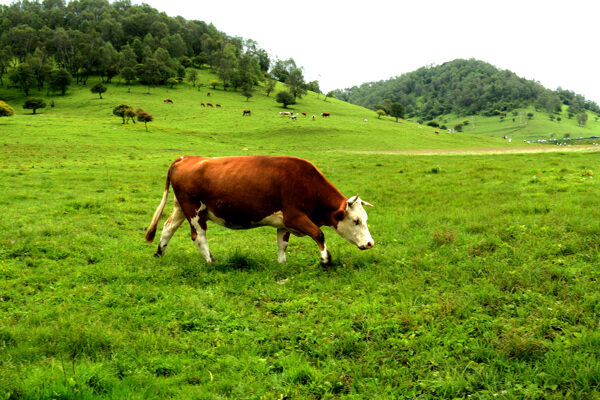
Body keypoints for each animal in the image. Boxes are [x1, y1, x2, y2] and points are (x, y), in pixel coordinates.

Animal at [144, 155, 372, 266]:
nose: (370, 243)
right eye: (356, 221)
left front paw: (282, 264)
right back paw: (211, 261)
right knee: (198, 236)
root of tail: (186, 158)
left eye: (365, 218)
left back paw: (159, 252)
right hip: (194, 210)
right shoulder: (295, 216)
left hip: (181, 207)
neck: (307, 182)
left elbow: (282, 243)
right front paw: (326, 260)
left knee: (168, 227)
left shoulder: (285, 222)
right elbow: (319, 233)